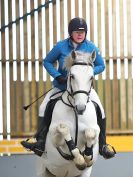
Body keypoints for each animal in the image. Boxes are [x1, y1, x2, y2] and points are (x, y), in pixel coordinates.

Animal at [36, 49, 100, 177]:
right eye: (72, 76)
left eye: (91, 77)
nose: (81, 108)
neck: (75, 111)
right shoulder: (54, 138)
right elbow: (63, 130)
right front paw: (79, 160)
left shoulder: (95, 132)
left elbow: (91, 134)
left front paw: (86, 158)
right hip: (42, 170)